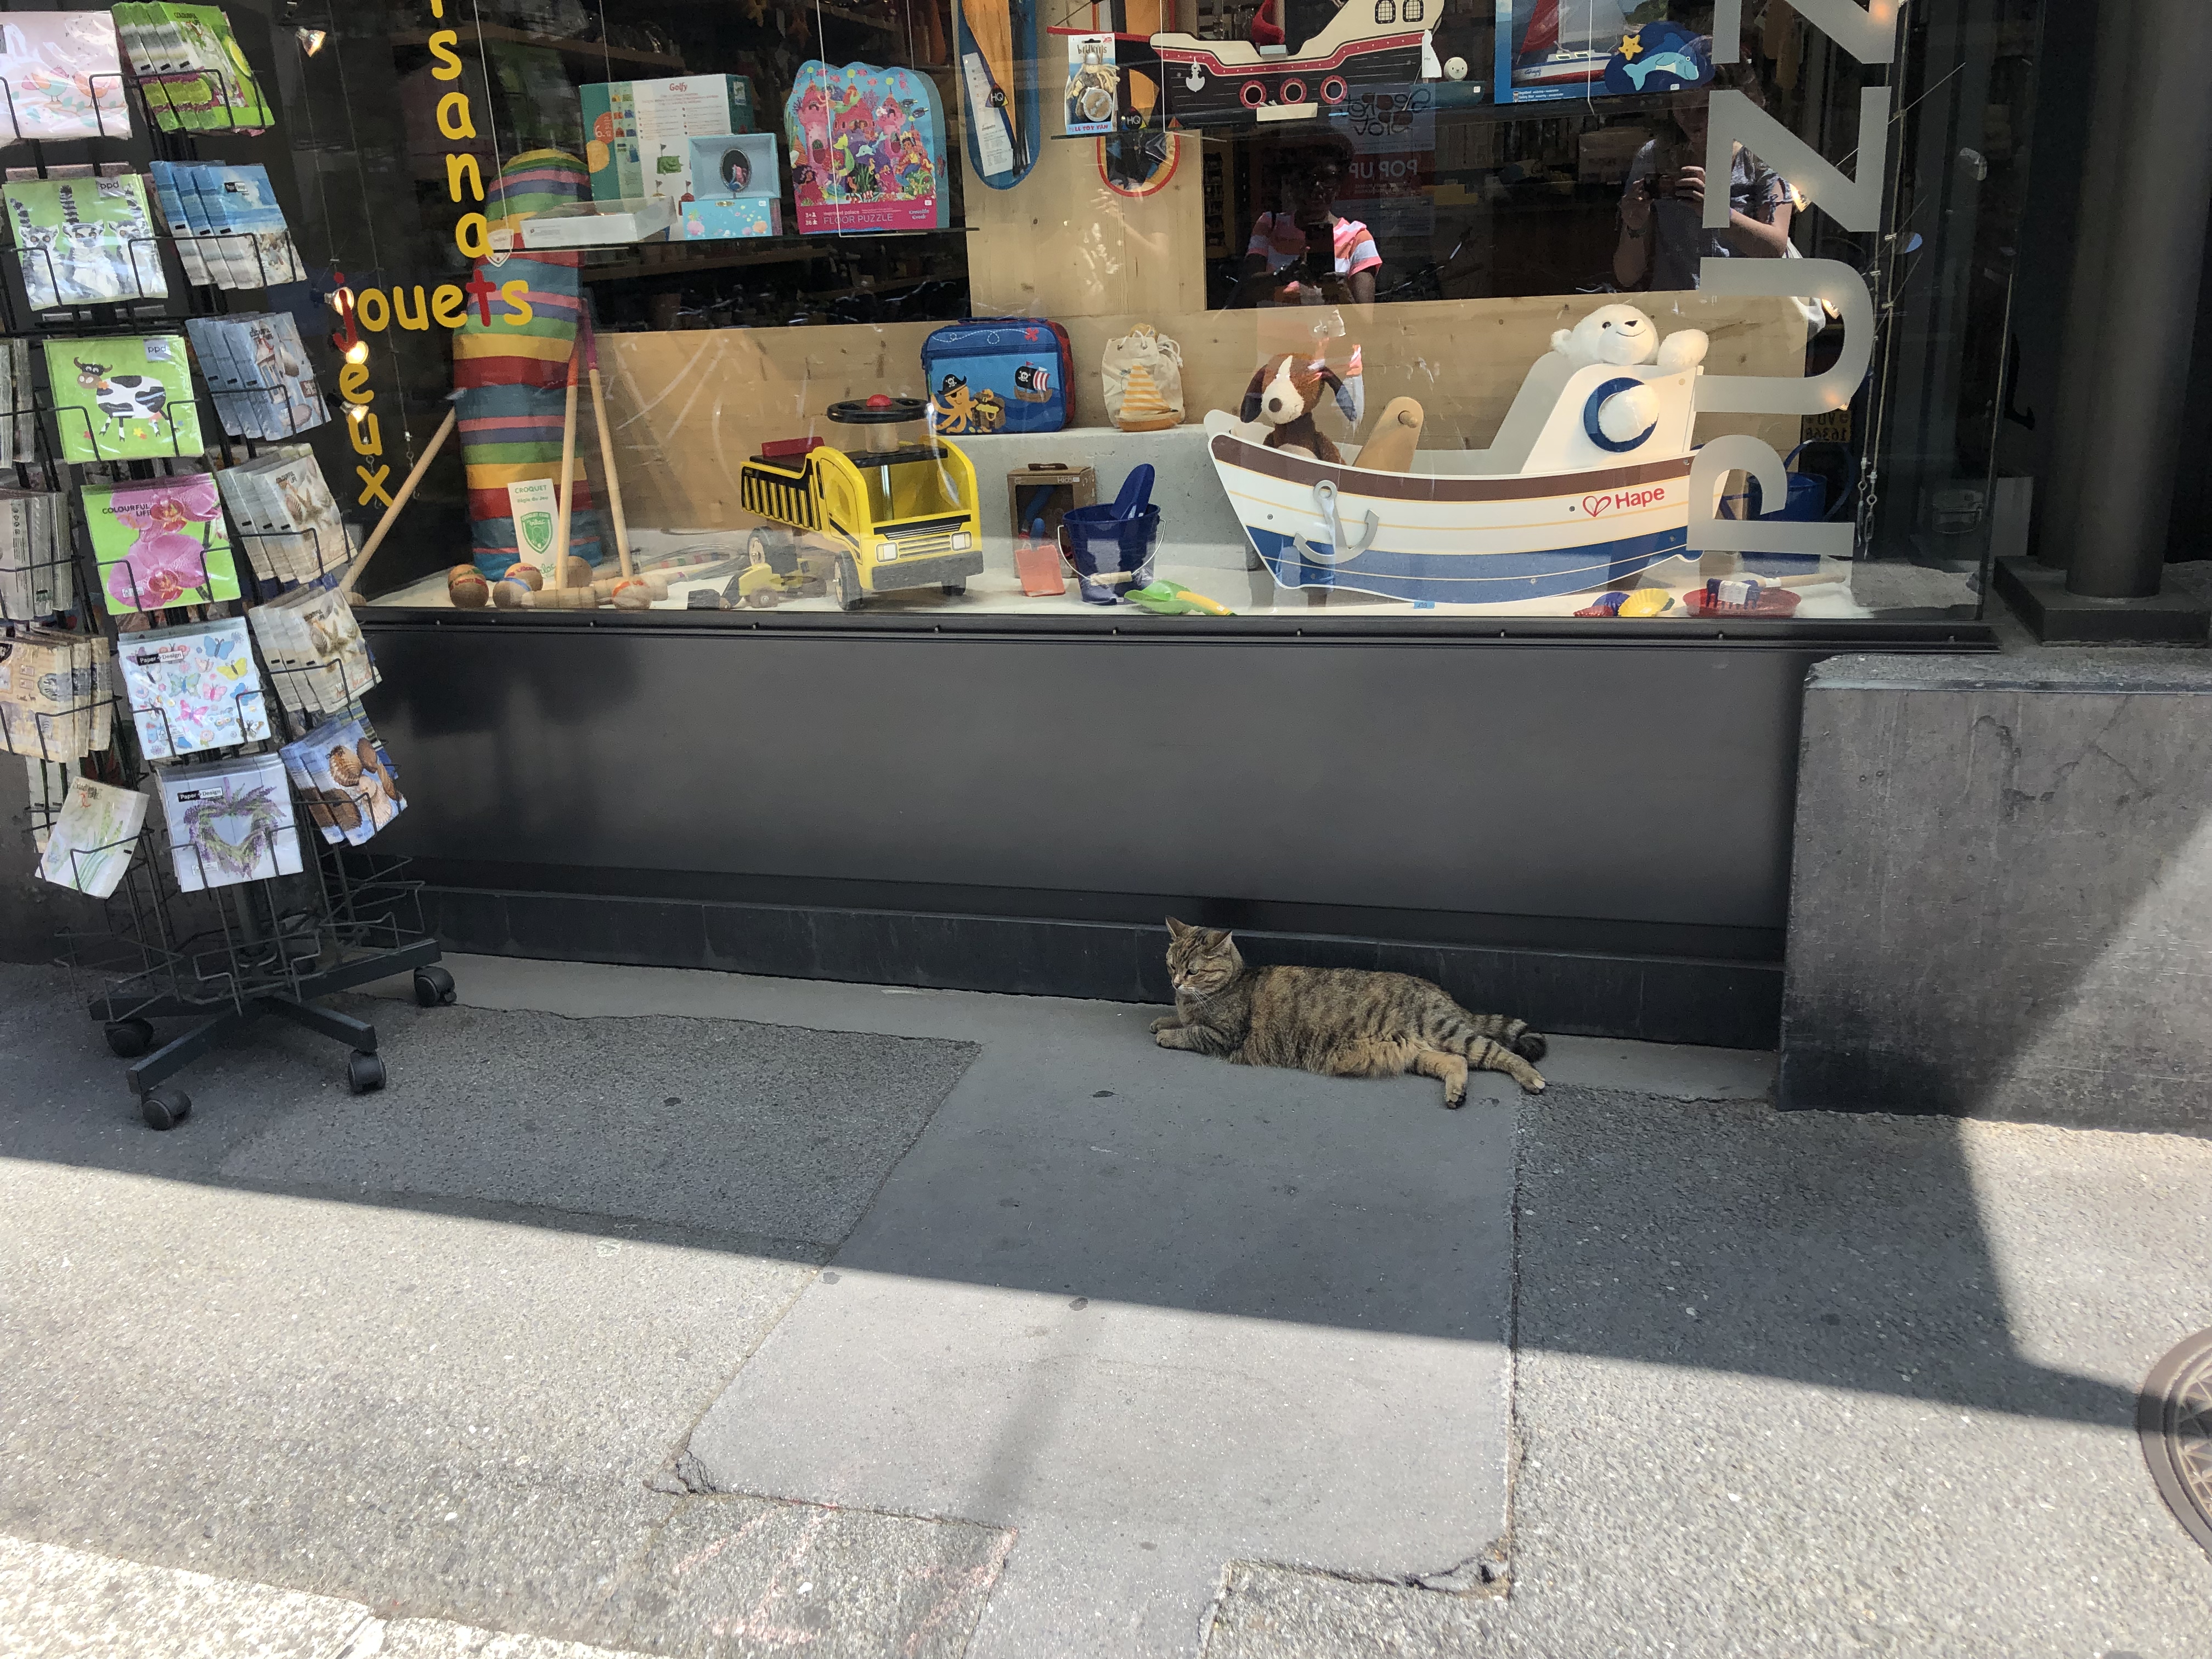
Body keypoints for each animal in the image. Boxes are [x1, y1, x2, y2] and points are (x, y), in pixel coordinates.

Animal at [1150, 916, 1548, 1110]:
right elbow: (1180, 1019)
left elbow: (1189, 1032)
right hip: (1418, 1052)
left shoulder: (1222, 1036)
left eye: (1193, 971)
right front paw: (1162, 1018)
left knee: (1500, 1053)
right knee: (1457, 1062)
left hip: (1447, 1031)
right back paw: (1456, 1094)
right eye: (1170, 964)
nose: (1175, 982)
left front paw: (1166, 1032)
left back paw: (1532, 1078)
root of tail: (1442, 993)